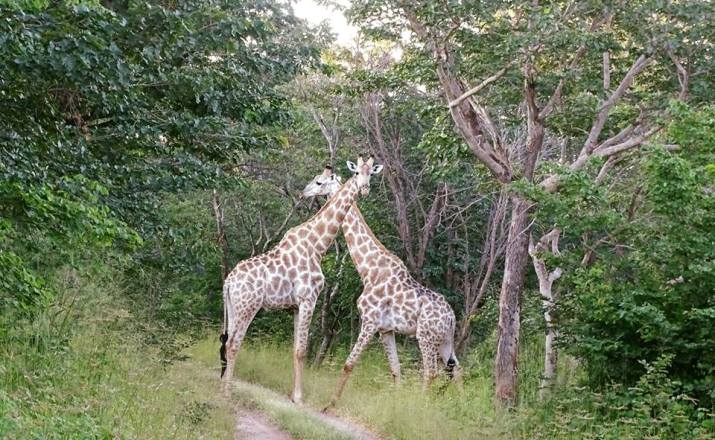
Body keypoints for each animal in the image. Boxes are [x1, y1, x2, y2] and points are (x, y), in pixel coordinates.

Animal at [221, 156, 384, 402]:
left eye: (371, 174)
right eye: (356, 173)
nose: (364, 188)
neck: (317, 245)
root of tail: (229, 282)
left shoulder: (296, 305)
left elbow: (295, 349)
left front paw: (293, 394)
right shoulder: (309, 299)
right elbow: (302, 350)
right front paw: (299, 397)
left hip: (233, 306)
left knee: (228, 339)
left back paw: (222, 385)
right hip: (248, 306)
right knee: (233, 343)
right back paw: (228, 391)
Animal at [300, 166, 458, 410]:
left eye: (318, 182)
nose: (304, 192)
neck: (368, 268)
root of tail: (452, 318)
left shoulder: (370, 321)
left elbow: (349, 363)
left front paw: (329, 404)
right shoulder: (386, 329)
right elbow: (395, 370)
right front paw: (395, 406)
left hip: (425, 336)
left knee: (431, 372)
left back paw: (421, 407)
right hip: (445, 340)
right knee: (456, 371)